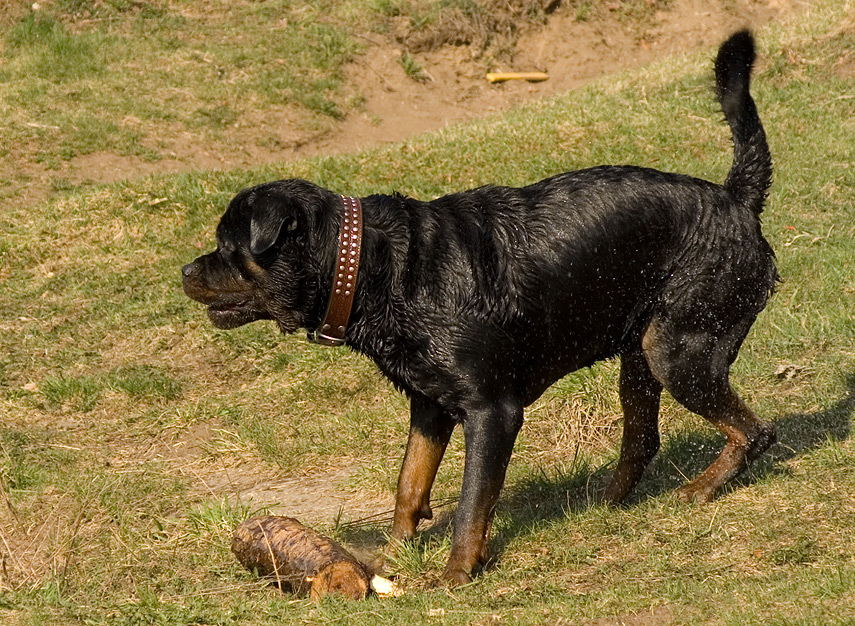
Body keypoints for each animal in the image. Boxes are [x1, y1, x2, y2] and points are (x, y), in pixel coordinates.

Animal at [184, 31, 780, 584]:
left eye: (227, 248)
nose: (186, 270)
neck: (375, 267)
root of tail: (736, 198)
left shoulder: (492, 410)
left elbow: (473, 502)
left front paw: (455, 574)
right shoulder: (429, 404)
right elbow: (409, 482)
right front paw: (393, 555)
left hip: (676, 349)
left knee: (755, 431)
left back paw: (699, 490)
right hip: (639, 355)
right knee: (643, 441)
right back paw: (601, 507)